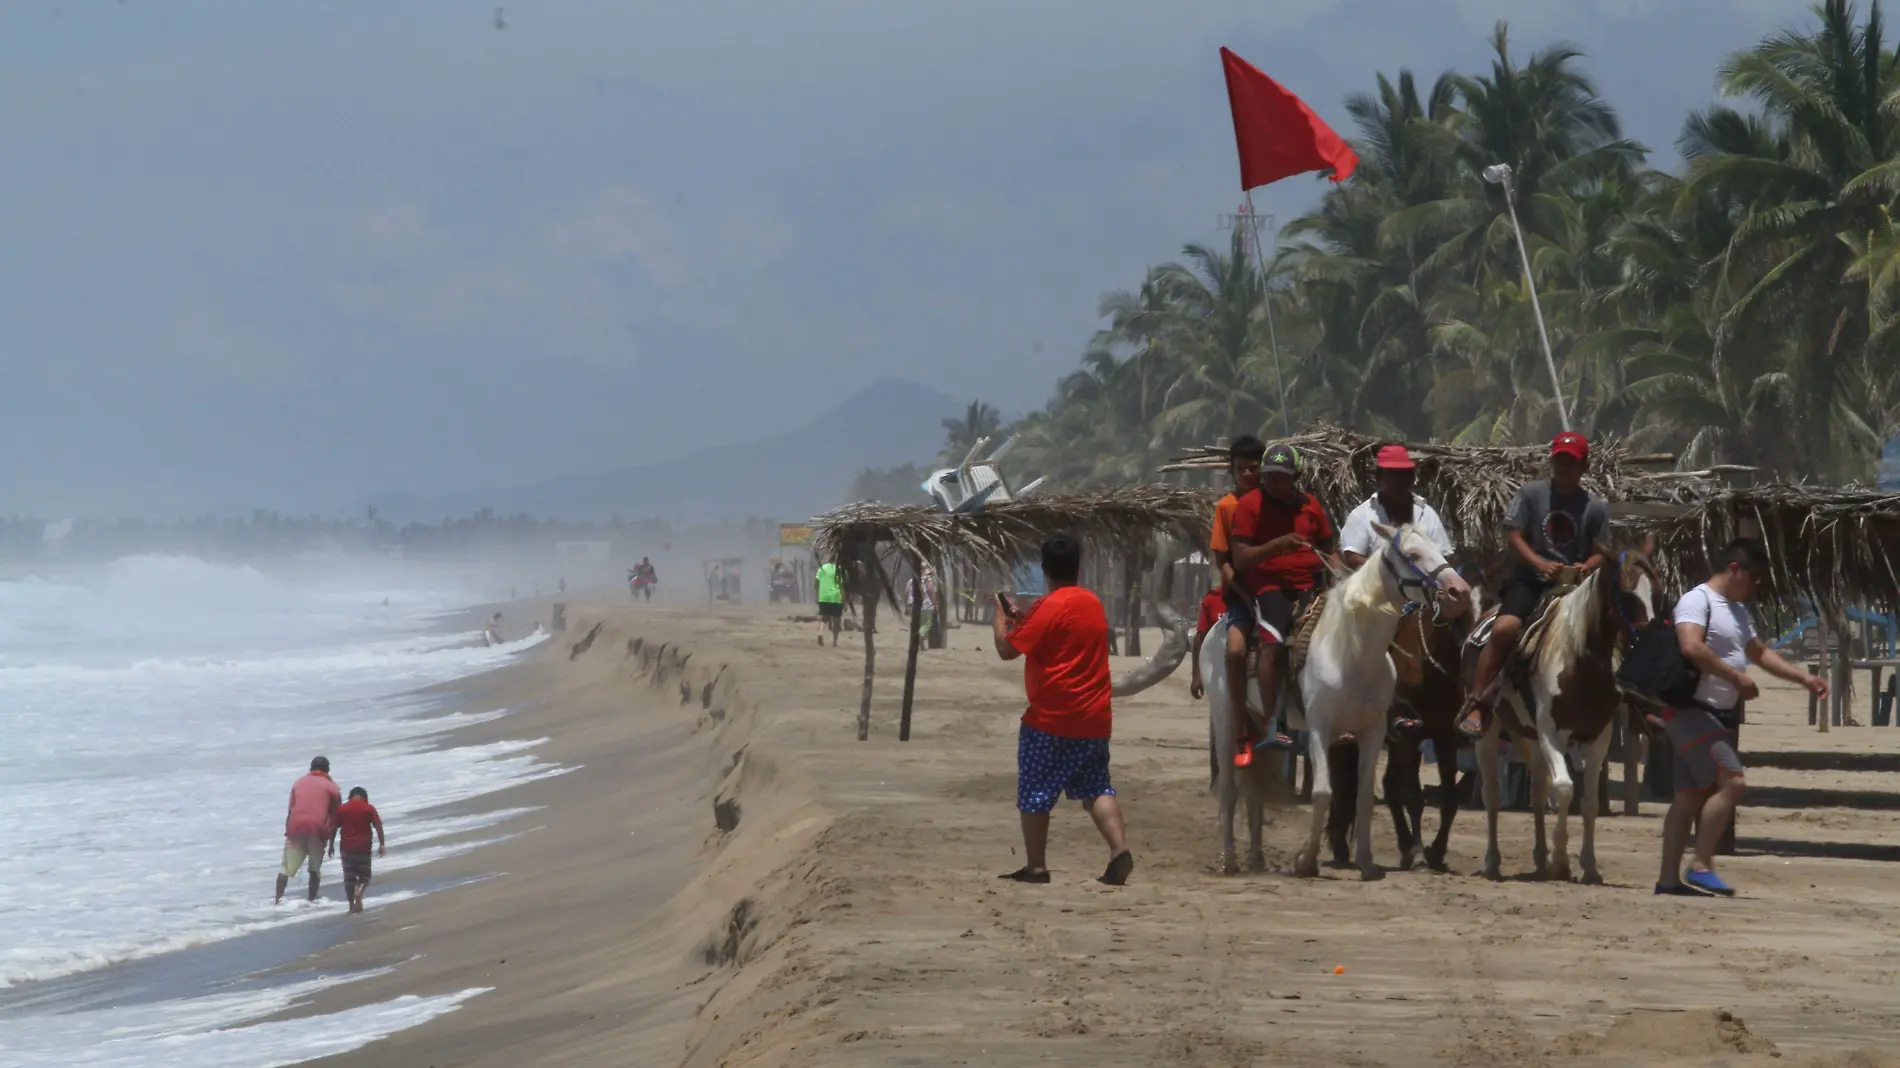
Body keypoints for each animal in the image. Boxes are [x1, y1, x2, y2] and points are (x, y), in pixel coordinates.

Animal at [1200, 520, 1466, 877]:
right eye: (1412, 555)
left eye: (1439, 549)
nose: (1458, 592)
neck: (1350, 651)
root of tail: (1218, 630)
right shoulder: (1320, 729)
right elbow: (1324, 792)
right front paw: (1306, 860)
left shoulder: (1373, 731)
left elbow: (1364, 796)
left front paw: (1366, 861)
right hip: (1227, 719)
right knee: (1229, 789)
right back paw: (1228, 859)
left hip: (1259, 724)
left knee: (1255, 792)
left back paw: (1256, 857)